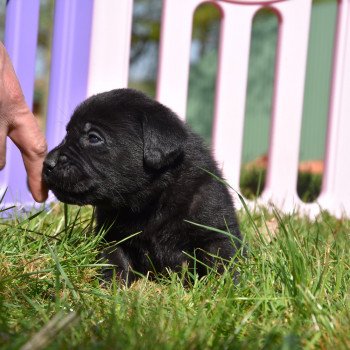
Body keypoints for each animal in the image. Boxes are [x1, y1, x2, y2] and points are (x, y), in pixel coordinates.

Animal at [43, 88, 241, 284]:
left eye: (93, 138)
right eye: (67, 134)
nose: (47, 163)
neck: (152, 201)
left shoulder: (215, 230)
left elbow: (223, 261)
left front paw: (225, 287)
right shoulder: (111, 236)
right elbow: (114, 260)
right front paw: (110, 285)